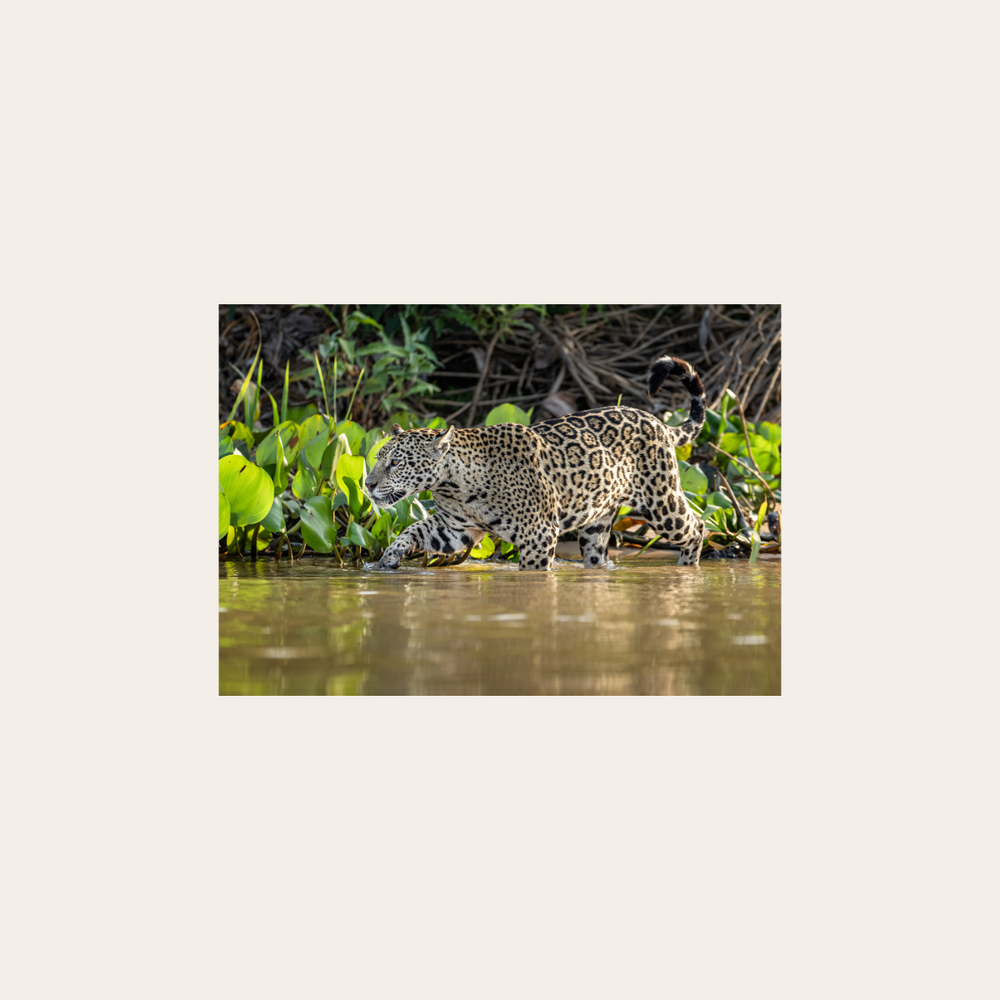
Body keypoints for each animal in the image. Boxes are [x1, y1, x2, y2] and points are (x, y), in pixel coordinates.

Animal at [365, 354, 708, 571]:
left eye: (395, 463)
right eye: (378, 459)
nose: (367, 485)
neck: (455, 486)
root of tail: (657, 421)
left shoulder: (538, 534)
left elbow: (532, 572)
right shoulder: (454, 529)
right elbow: (412, 530)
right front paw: (388, 559)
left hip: (661, 503)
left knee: (697, 527)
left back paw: (687, 568)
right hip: (596, 522)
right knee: (597, 554)